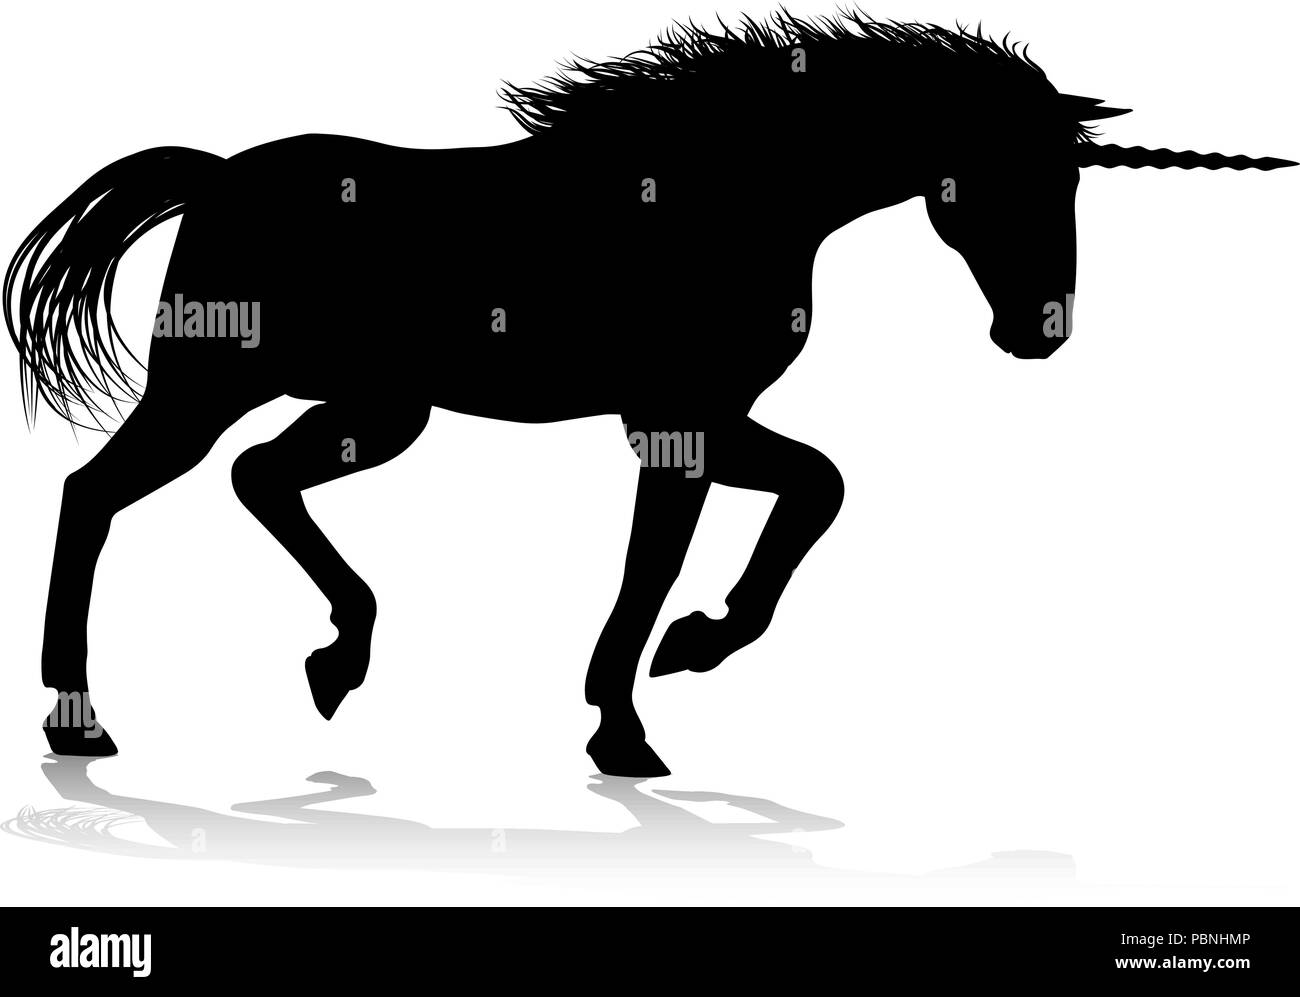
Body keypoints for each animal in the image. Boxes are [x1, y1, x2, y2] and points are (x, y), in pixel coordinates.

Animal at [5, 12, 1293, 777]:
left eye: (1070, 183)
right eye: (1008, 183)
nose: (1038, 333)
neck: (722, 191)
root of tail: (215, 177)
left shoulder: (698, 418)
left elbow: (817, 489)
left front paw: (687, 653)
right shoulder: (674, 418)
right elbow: (663, 560)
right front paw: (633, 717)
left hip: (379, 408)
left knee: (258, 476)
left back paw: (338, 656)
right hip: (213, 383)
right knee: (94, 495)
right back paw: (82, 718)